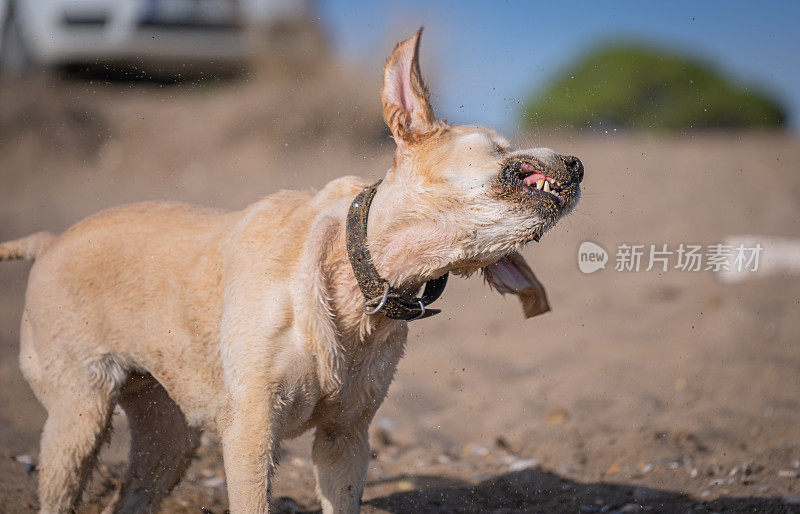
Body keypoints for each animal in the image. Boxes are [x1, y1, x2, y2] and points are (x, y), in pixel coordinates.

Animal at [0, 31, 580, 512]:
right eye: (500, 145)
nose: (576, 164)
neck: (356, 275)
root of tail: (50, 243)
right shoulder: (251, 430)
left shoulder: (347, 440)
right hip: (80, 413)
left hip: (168, 435)